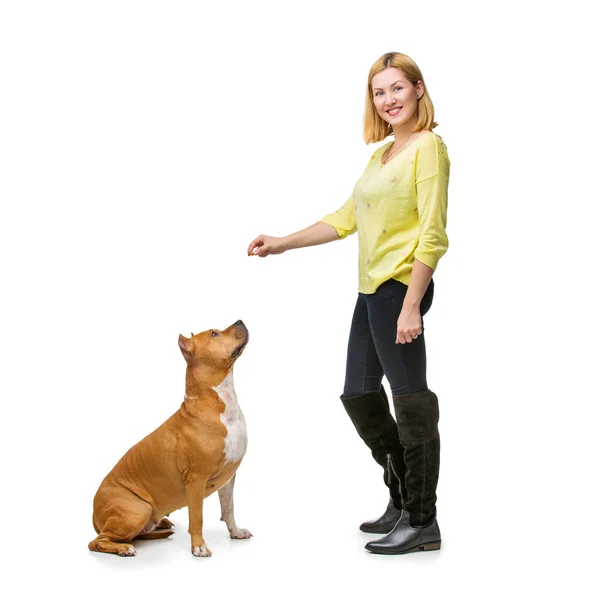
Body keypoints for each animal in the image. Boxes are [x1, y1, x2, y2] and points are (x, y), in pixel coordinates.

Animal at [88, 318, 250, 556]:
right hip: (138, 509)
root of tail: (93, 515)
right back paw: (124, 548)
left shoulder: (229, 478)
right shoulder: (196, 480)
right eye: (214, 334)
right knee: (96, 542)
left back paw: (162, 524)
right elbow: (197, 517)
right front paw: (199, 547)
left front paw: (236, 532)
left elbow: (229, 509)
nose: (240, 320)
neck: (218, 401)